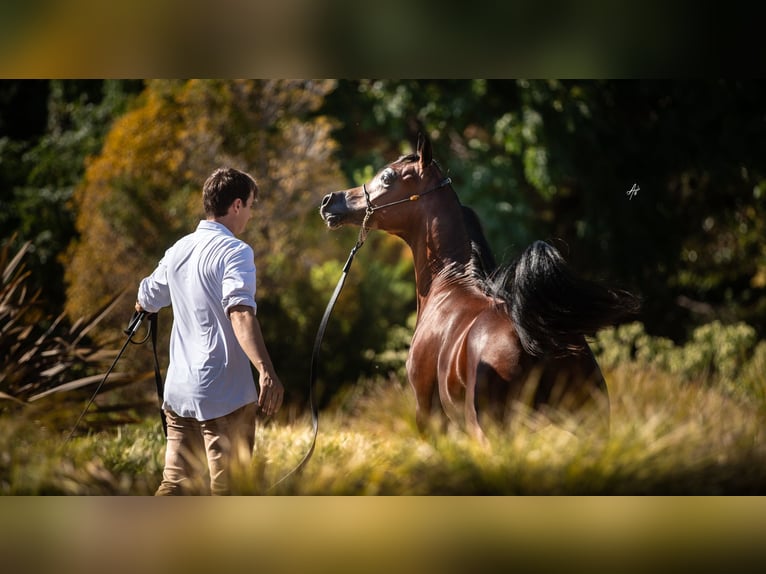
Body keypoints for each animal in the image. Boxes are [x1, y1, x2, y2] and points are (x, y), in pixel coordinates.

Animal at [320, 135, 640, 446]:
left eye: (387, 177)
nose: (329, 201)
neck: (448, 284)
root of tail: (538, 339)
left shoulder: (427, 415)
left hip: (489, 433)